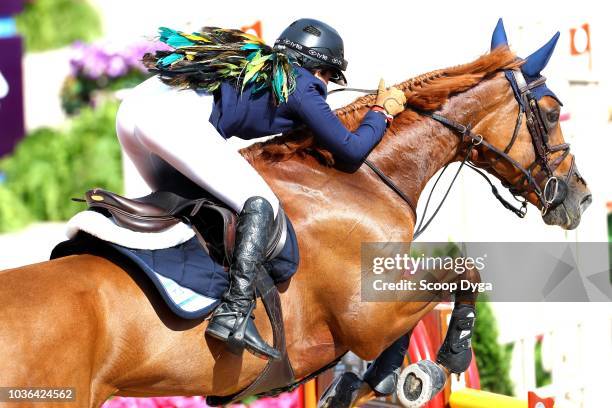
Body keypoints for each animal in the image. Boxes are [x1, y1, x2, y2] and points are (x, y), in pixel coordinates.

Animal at [1, 46, 592, 406]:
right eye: (552, 110)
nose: (580, 197)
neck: (360, 176)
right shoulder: (367, 311)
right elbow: (462, 274)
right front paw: (436, 367)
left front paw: (370, 382)